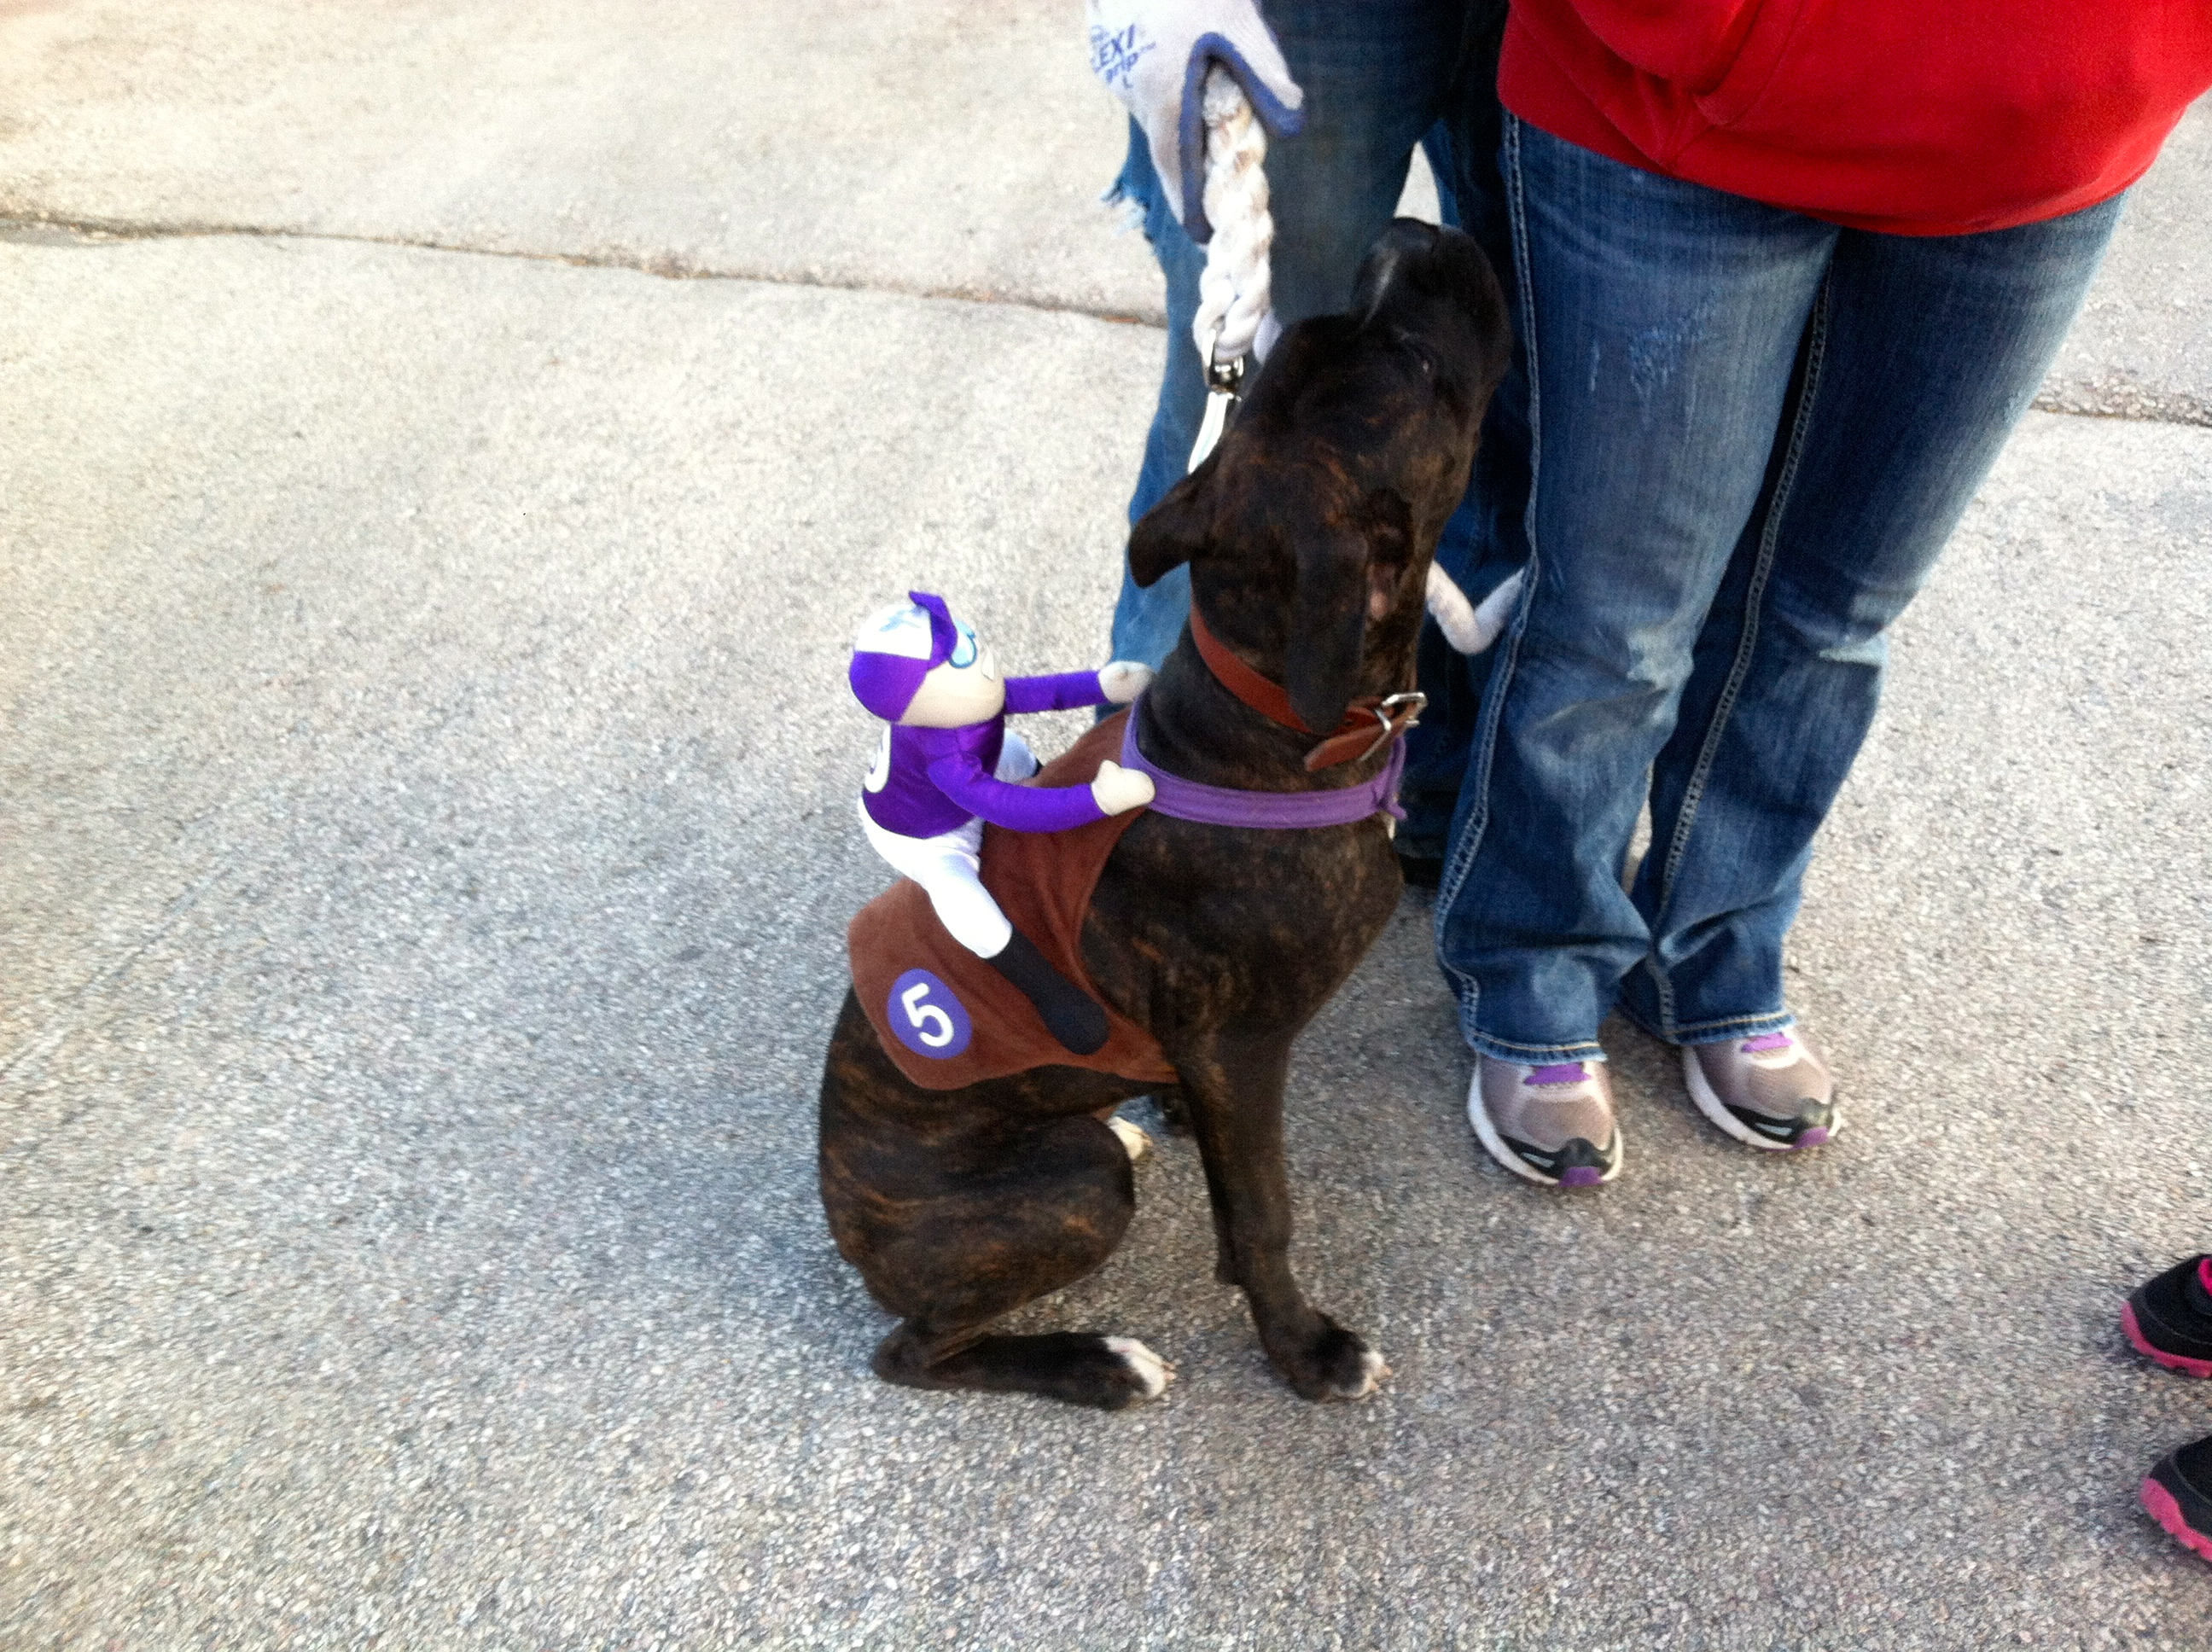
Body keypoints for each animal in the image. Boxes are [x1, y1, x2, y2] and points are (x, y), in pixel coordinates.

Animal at [818, 219, 1514, 1408]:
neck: (1268, 724)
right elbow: (1263, 1216)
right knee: (914, 1351)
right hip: (1071, 1187)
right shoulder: (1244, 1049)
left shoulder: (1210, 1055)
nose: (1411, 233)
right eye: (1418, 367)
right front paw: (1304, 1348)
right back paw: (1098, 1362)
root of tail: (842, 1215)